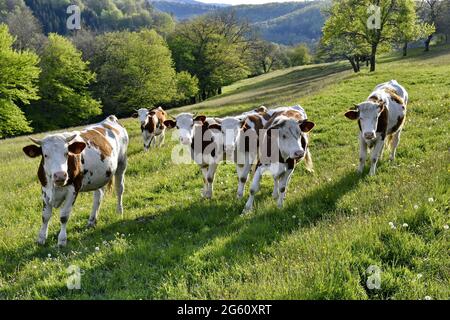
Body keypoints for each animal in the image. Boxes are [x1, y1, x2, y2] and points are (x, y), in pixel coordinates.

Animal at [22, 116, 128, 246]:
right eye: (45, 155)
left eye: (66, 153)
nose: (60, 175)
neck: (55, 187)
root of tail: (110, 119)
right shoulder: (45, 190)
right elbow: (45, 216)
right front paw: (41, 238)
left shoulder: (73, 190)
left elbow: (64, 216)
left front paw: (62, 240)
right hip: (99, 176)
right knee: (98, 195)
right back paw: (92, 220)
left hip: (122, 163)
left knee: (119, 189)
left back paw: (119, 211)